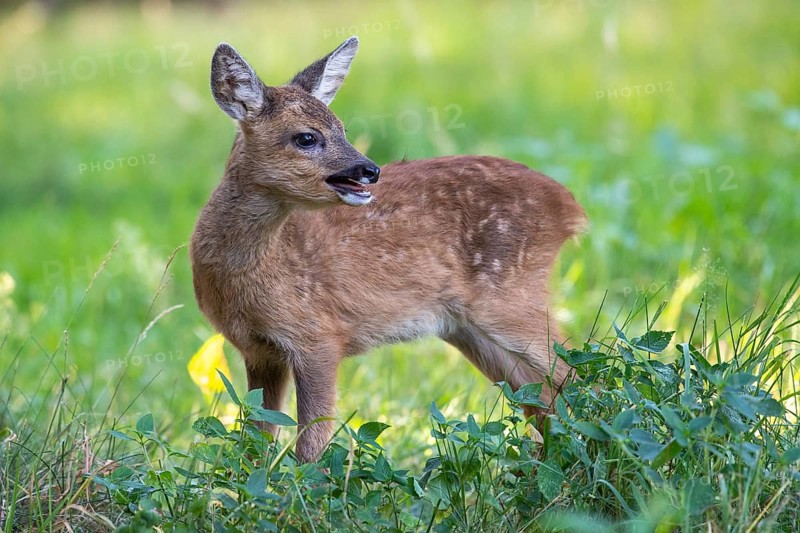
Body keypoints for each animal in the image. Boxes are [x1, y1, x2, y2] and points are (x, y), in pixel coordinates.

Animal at [190, 36, 587, 463]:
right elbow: (255, 442)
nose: (370, 170)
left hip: (511, 301)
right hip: (469, 328)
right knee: (544, 398)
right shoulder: (259, 352)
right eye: (307, 137)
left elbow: (311, 445)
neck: (253, 271)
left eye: (343, 129)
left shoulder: (319, 336)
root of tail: (569, 207)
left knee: (578, 374)